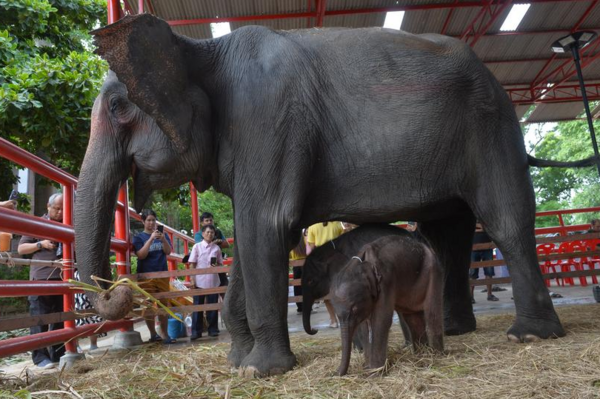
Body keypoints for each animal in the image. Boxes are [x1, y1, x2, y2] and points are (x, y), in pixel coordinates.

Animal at [330, 236, 442, 376]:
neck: (363, 263)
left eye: (354, 309)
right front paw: (368, 368)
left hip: (432, 270)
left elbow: (381, 320)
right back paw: (421, 354)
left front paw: (374, 373)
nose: (332, 373)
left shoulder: (385, 281)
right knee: (412, 317)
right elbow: (364, 325)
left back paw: (436, 355)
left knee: (432, 314)